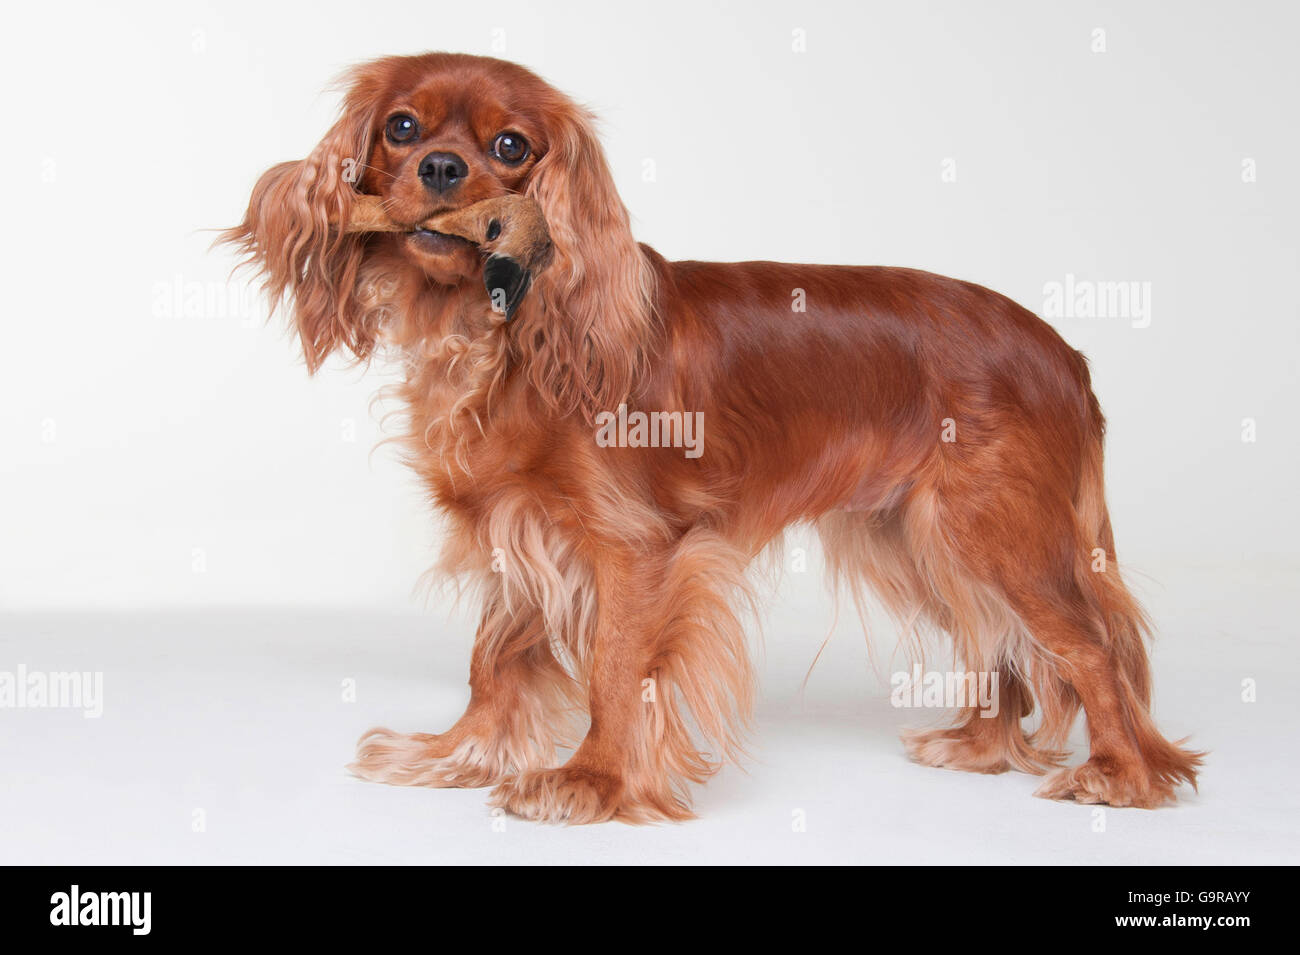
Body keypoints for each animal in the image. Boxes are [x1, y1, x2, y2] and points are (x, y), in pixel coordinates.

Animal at [220, 55, 1196, 826]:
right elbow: (492, 664)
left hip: (992, 528)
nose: (443, 166)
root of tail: (1062, 350)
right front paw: (457, 755)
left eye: (511, 148)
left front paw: (591, 782)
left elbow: (615, 670)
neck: (498, 335)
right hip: (919, 536)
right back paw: (982, 748)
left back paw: (1122, 774)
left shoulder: (633, 546)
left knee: (1087, 646)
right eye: (402, 126)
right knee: (1001, 640)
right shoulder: (516, 532)